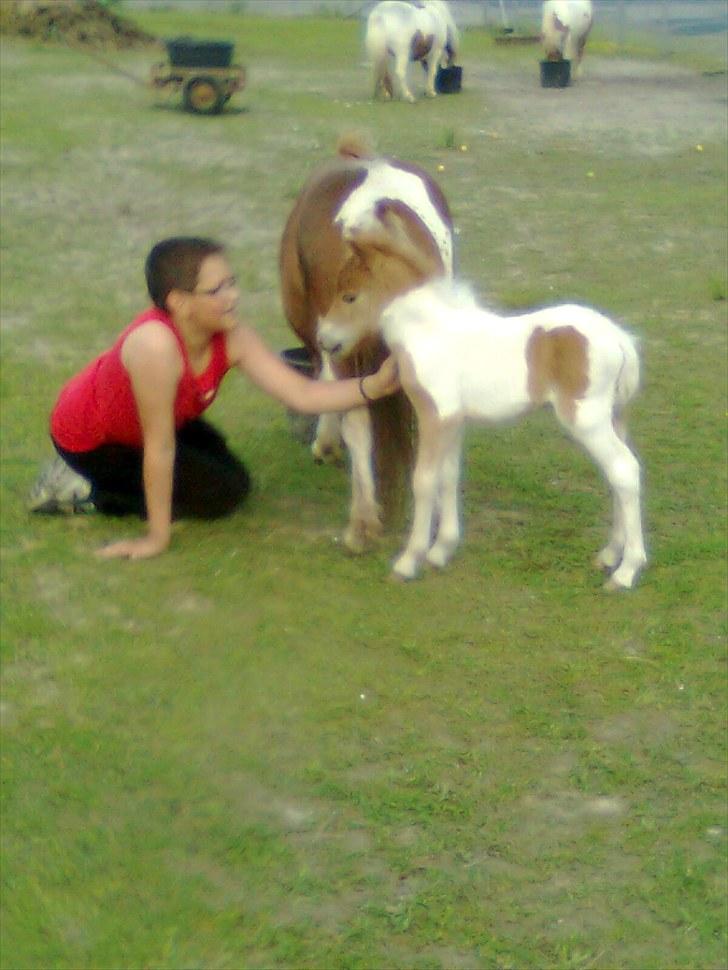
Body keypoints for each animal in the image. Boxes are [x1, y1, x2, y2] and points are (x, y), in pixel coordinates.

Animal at [378, 276, 644, 588]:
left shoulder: (435, 416)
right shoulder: (453, 421)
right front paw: (441, 551)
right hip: (615, 419)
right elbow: (449, 475)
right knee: (616, 477)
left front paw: (409, 561)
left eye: (349, 295)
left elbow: (424, 481)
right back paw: (611, 554)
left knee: (624, 469)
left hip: (588, 421)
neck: (428, 328)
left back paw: (626, 572)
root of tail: (618, 337)